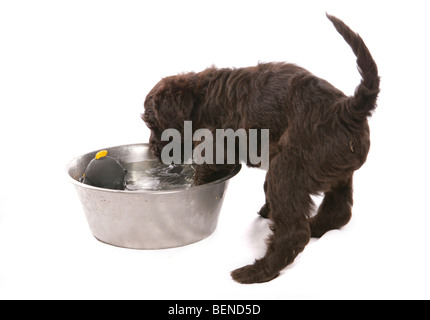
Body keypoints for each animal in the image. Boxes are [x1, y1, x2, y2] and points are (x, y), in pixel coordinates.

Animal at [142, 14, 380, 284]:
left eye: (152, 125)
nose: (153, 151)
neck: (202, 98)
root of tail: (348, 109)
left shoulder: (218, 147)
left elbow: (205, 171)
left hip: (289, 168)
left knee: (293, 231)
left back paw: (257, 271)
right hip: (335, 167)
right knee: (338, 210)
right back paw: (315, 226)